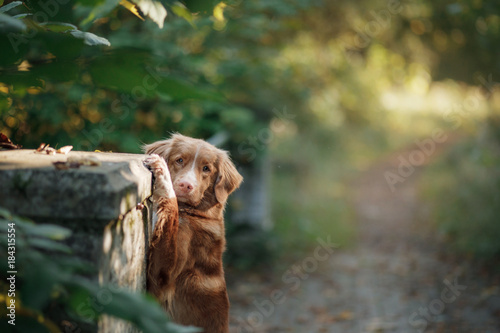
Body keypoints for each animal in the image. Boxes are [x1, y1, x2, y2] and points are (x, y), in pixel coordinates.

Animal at [143, 134, 242, 330]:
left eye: (206, 169)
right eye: (180, 160)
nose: (186, 185)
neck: (192, 213)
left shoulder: (163, 275)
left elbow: (171, 206)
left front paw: (162, 173)